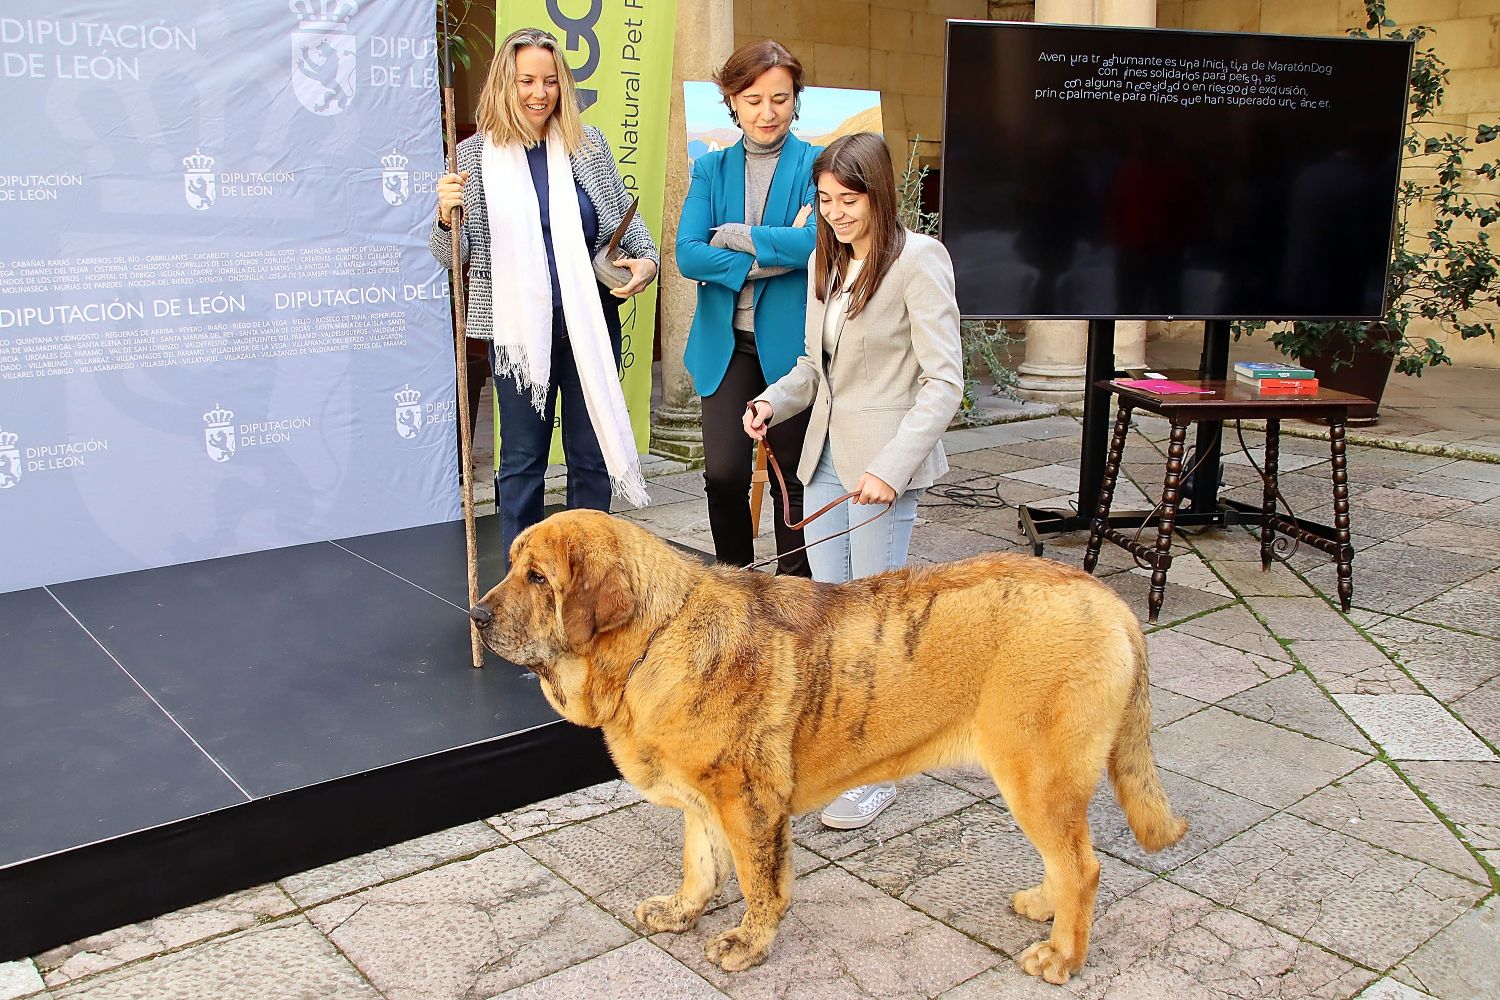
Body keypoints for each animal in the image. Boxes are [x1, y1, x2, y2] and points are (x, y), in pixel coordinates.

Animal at [468, 509, 1182, 983]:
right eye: (512, 568)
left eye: (538, 578)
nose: (475, 614)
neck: (654, 638)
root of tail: (1111, 602)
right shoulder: (702, 797)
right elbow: (699, 865)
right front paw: (681, 911)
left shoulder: (750, 803)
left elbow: (758, 883)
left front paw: (747, 945)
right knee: (1067, 863)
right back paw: (1043, 906)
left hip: (1038, 776)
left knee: (1083, 867)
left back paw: (1062, 955)